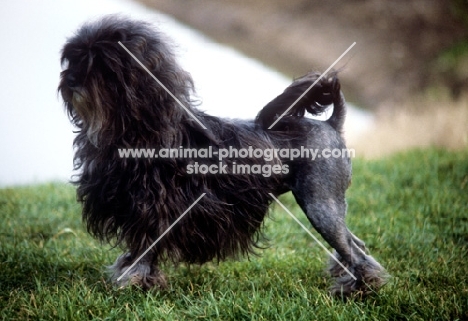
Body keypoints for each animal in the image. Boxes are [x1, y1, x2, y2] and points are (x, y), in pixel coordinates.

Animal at [59, 14, 388, 296]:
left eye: (103, 63)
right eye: (73, 57)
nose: (69, 80)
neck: (135, 129)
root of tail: (331, 123)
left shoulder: (153, 211)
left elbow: (144, 251)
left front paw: (134, 283)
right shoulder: (139, 211)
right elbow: (137, 251)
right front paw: (133, 277)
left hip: (320, 203)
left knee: (350, 247)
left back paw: (358, 289)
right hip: (327, 205)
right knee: (355, 243)